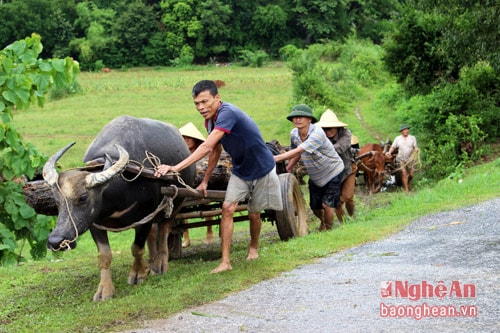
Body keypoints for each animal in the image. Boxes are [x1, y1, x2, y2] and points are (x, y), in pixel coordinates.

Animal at [43, 115, 195, 300]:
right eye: (56, 201)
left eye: (83, 197)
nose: (55, 241)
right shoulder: (94, 223)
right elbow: (104, 255)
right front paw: (104, 290)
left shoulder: (145, 217)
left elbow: (137, 248)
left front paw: (137, 275)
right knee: (154, 235)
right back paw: (150, 263)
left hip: (175, 203)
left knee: (165, 231)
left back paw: (159, 265)